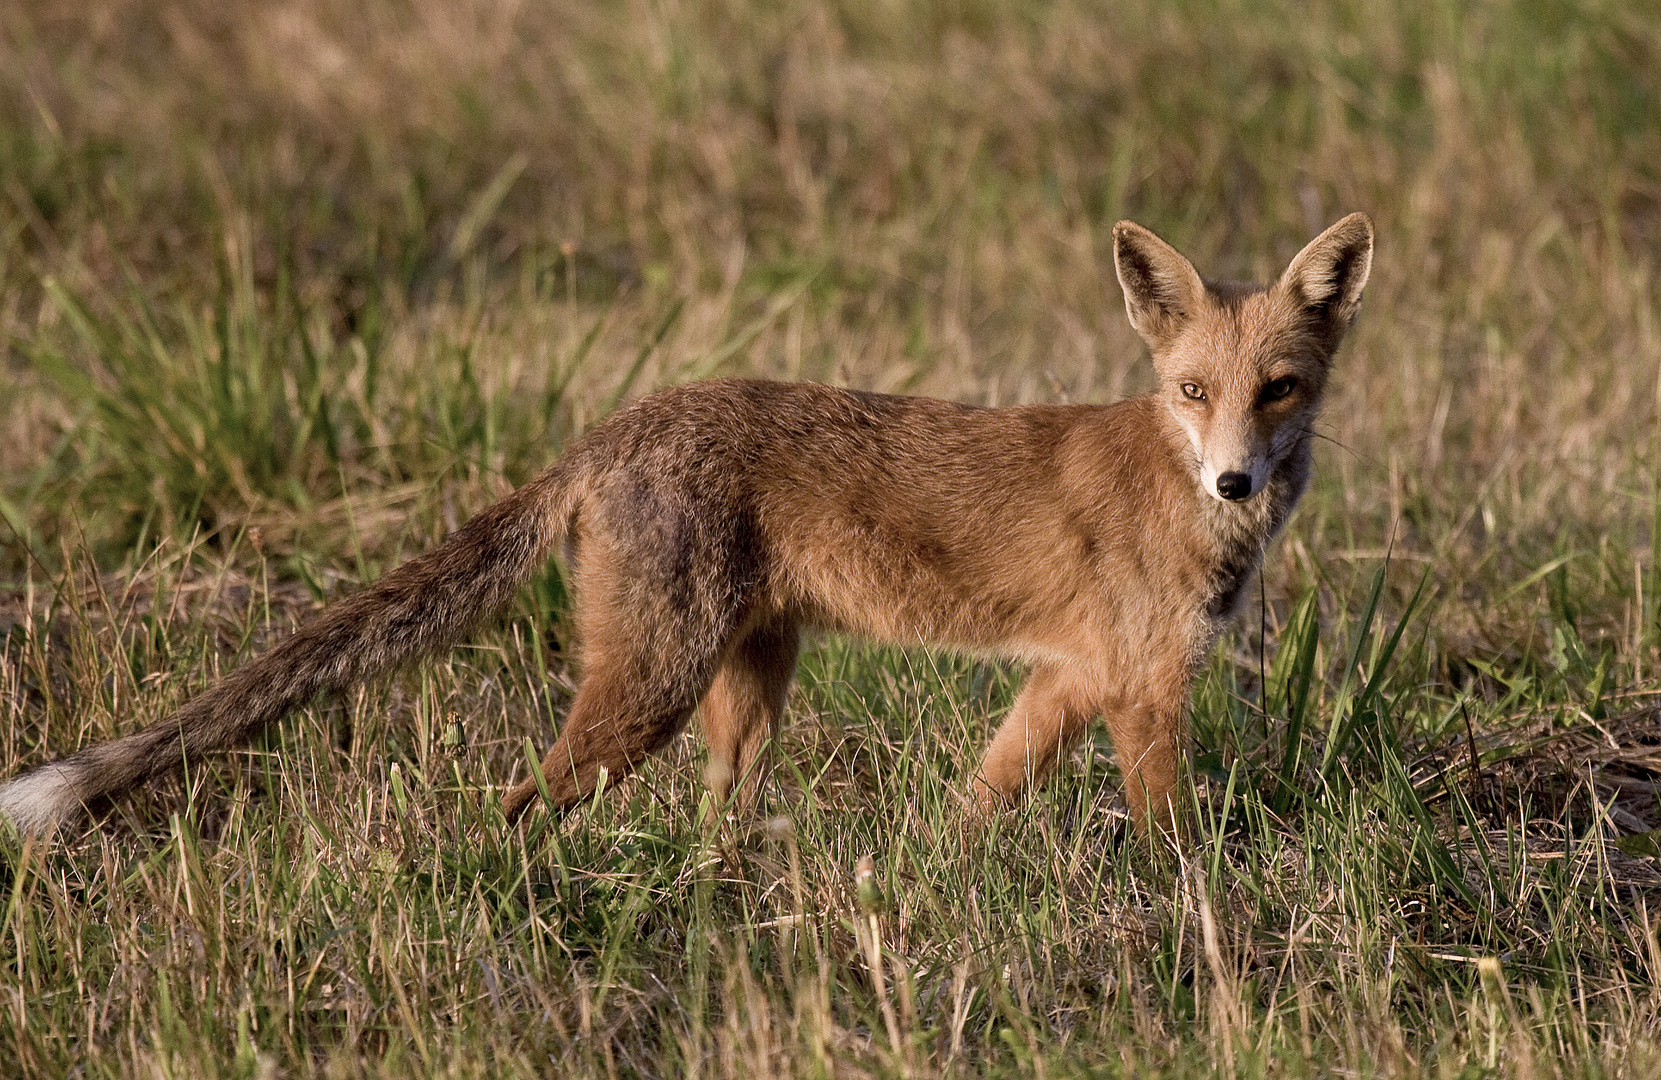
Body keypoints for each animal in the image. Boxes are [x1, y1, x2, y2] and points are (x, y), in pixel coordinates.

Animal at [0, 208, 1368, 834]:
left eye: (1276, 391)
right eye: (1189, 393)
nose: (1235, 484)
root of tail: (617, 425)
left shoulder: (1068, 680)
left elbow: (975, 803)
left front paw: (936, 868)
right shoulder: (1142, 689)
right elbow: (1171, 841)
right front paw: (1192, 939)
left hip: (742, 684)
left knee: (714, 815)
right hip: (650, 689)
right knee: (516, 806)